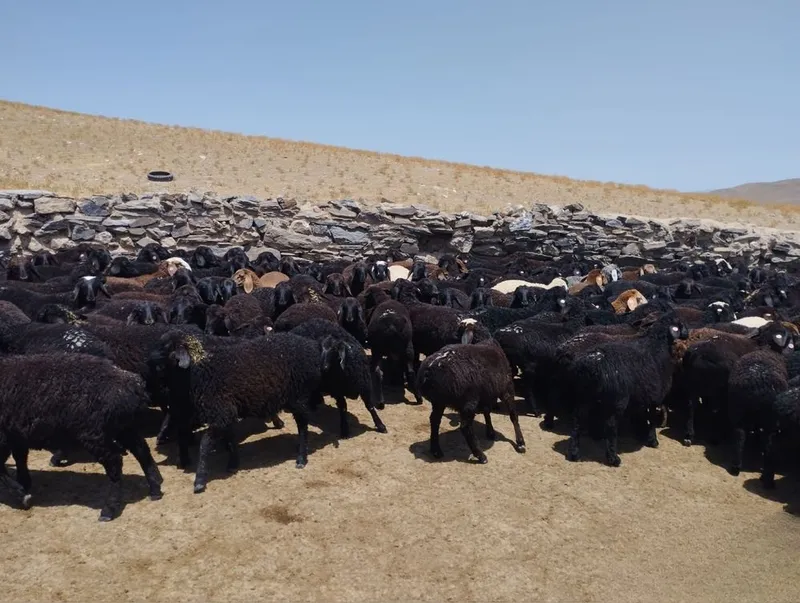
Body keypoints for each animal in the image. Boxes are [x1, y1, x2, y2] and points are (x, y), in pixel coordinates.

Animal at [0, 353, 163, 521]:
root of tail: (133, 384)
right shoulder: (16, 435)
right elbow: (20, 459)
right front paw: (24, 484)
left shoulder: (4, 438)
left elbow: (2, 469)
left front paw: (22, 495)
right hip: (123, 426)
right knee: (142, 451)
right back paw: (155, 489)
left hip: (94, 434)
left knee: (115, 463)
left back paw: (108, 510)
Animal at [149, 330, 325, 492]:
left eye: (166, 347)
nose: (149, 359)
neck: (198, 372)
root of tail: (311, 345)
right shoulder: (226, 413)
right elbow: (230, 438)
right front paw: (233, 463)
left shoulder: (219, 414)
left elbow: (205, 445)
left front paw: (199, 480)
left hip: (299, 396)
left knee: (303, 426)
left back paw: (301, 458)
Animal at [416, 318, 526, 463]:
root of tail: (428, 371)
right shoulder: (506, 388)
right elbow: (513, 415)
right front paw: (520, 443)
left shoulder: (486, 392)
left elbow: (487, 411)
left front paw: (490, 431)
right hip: (468, 401)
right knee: (465, 427)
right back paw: (480, 455)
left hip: (439, 401)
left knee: (434, 420)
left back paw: (436, 450)